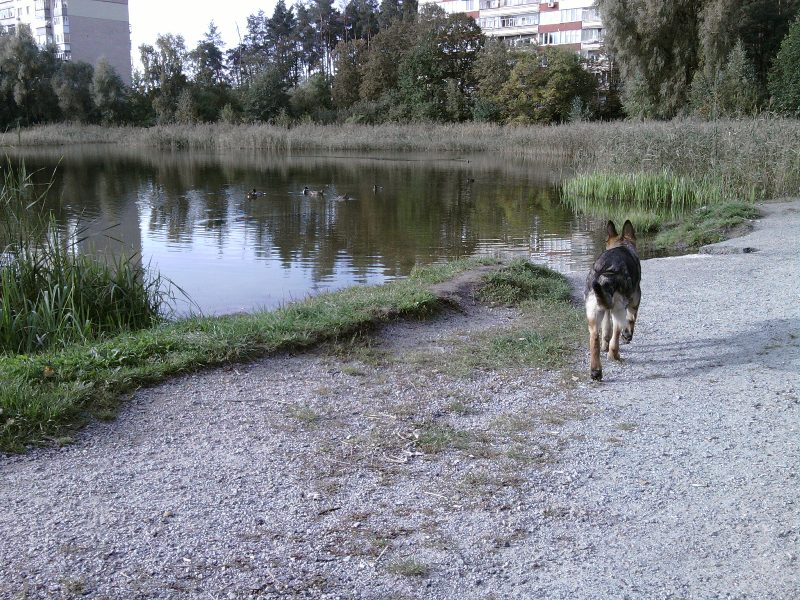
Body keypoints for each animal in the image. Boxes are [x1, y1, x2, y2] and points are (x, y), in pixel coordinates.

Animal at [584, 220, 641, 381]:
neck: (622, 245)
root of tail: (604, 273)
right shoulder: (635, 300)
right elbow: (631, 320)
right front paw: (627, 336)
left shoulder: (605, 308)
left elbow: (606, 330)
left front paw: (604, 345)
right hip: (619, 310)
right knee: (616, 337)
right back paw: (614, 356)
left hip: (594, 314)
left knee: (595, 339)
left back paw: (596, 370)